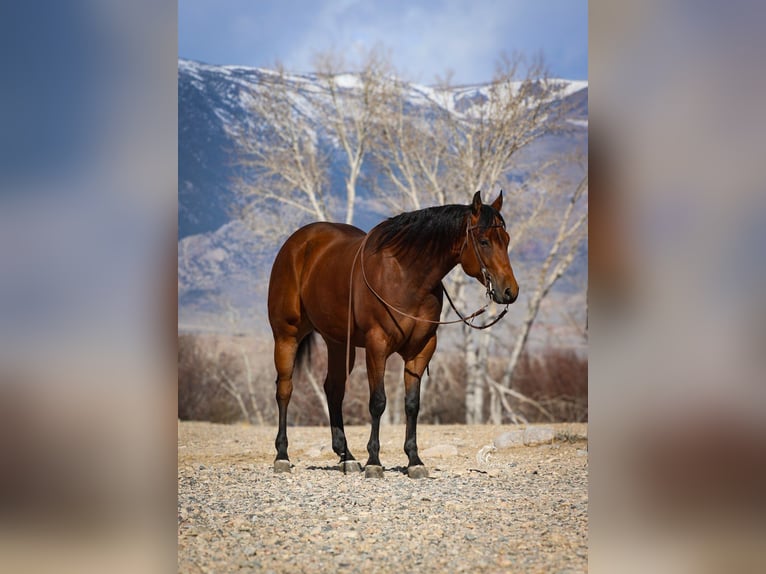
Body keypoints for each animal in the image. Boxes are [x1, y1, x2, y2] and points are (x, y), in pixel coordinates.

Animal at [267, 190, 519, 478]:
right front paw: (374, 461)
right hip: (286, 336)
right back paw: (282, 456)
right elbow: (378, 401)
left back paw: (346, 457)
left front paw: (414, 460)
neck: (407, 276)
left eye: (506, 240)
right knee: (284, 390)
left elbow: (412, 404)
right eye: (484, 241)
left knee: (333, 389)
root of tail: (296, 244)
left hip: (339, 343)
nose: (510, 291)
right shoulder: (377, 346)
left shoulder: (421, 349)